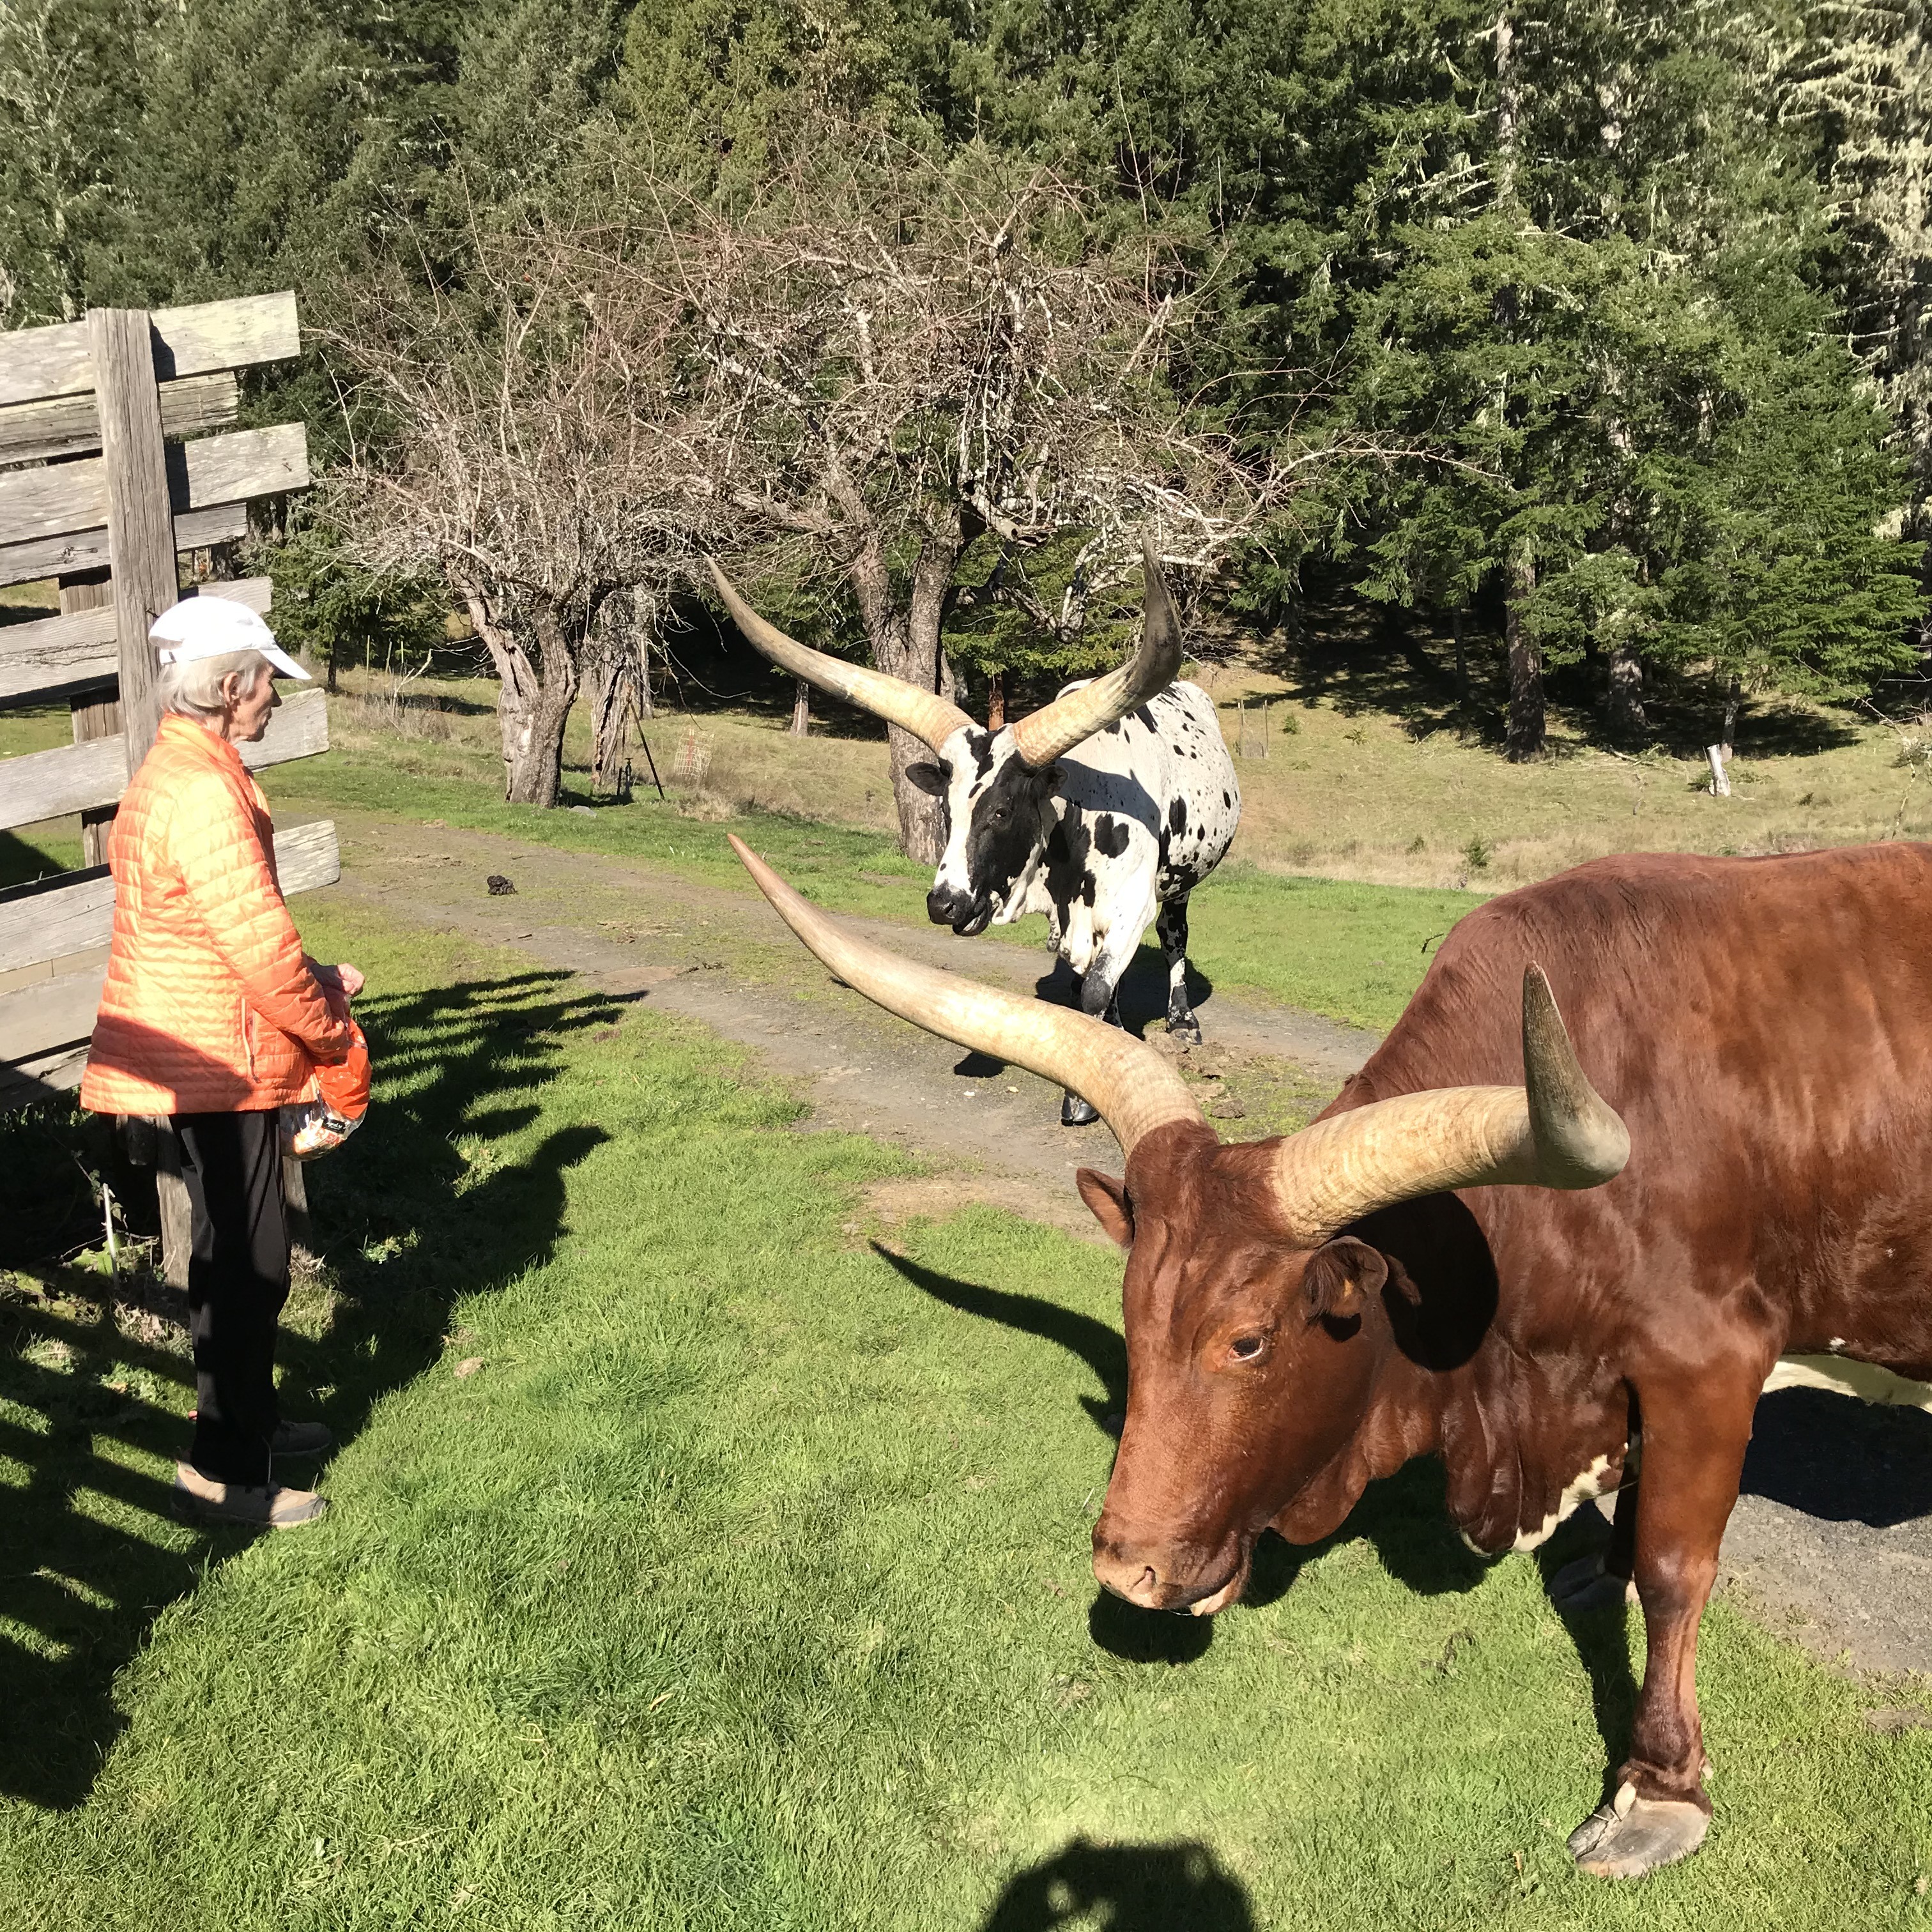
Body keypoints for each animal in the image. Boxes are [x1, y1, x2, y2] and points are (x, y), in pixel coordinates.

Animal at [706, 554, 1241, 1125]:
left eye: (1002, 811)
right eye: (946, 809)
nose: (944, 904)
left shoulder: (1131, 907)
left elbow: (1100, 985)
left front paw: (1080, 1101)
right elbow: (1091, 987)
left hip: (1181, 883)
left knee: (1174, 934)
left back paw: (1183, 1021)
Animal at [725, 832, 1932, 1878]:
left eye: (1250, 1338)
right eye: (1131, 1316)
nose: (1127, 1571)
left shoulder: (1708, 1363)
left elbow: (1678, 1570)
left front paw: (1659, 1788)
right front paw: (1601, 1563)